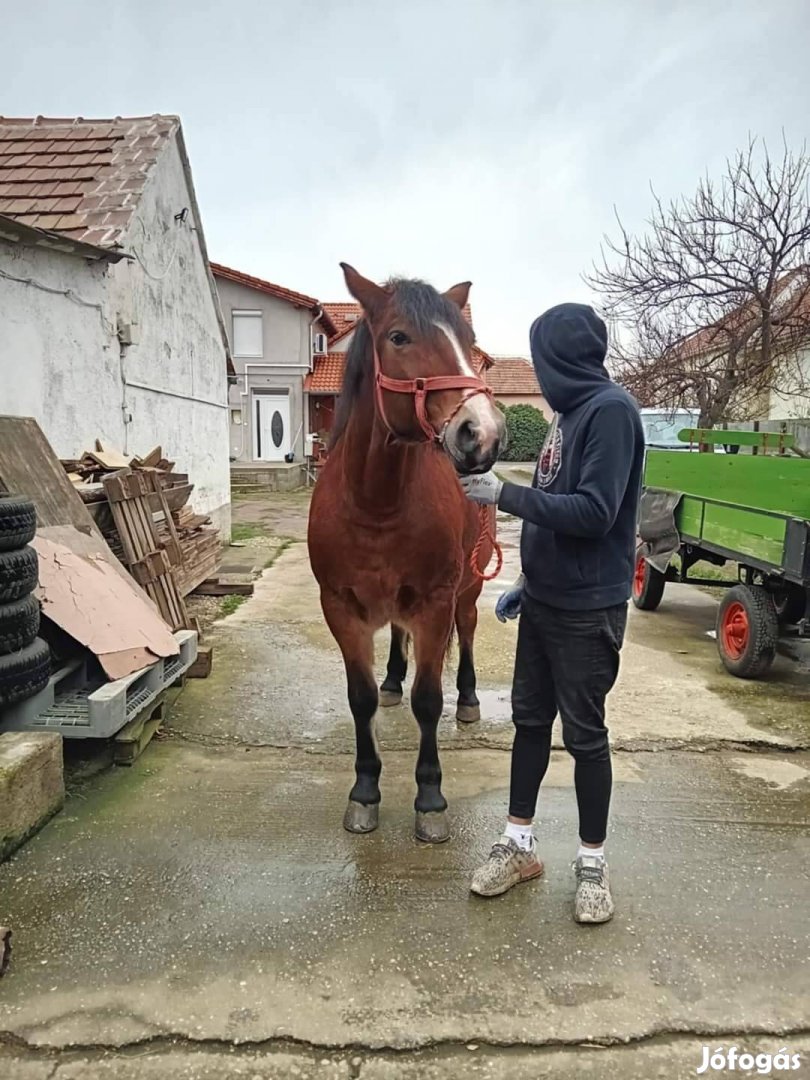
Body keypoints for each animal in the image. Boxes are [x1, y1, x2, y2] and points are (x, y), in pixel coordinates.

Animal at [306, 263, 505, 842]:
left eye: (468, 340)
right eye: (398, 337)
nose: (483, 433)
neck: (376, 501)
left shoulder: (436, 603)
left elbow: (429, 699)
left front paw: (430, 798)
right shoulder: (340, 607)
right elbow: (362, 698)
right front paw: (365, 791)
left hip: (469, 588)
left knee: (467, 632)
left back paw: (469, 699)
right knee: (396, 636)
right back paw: (394, 676)